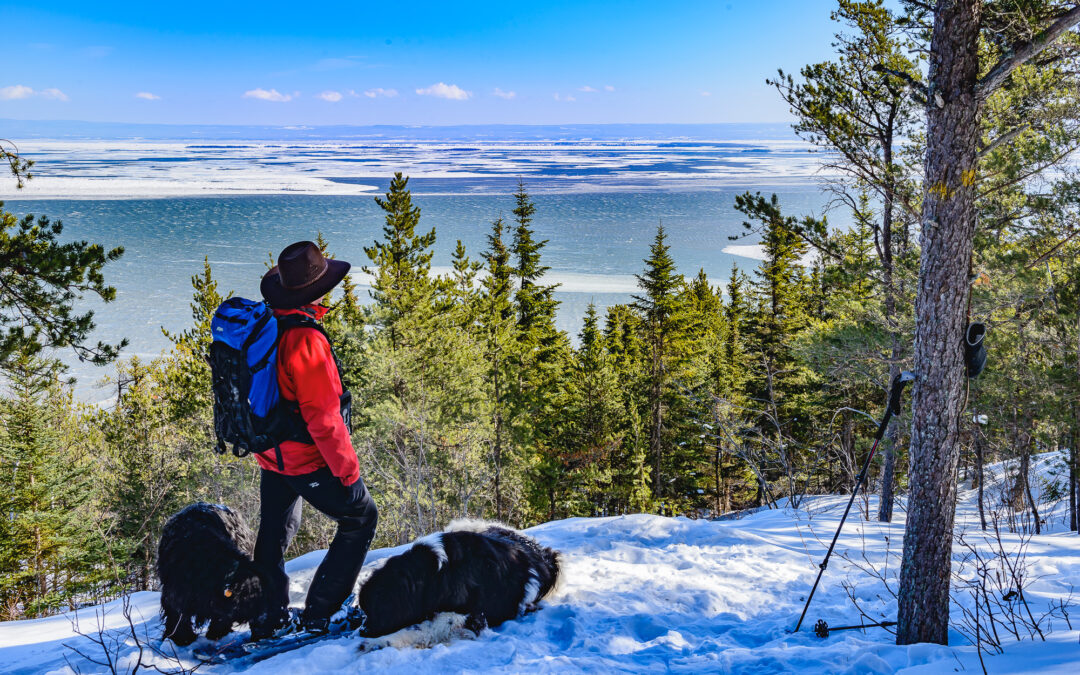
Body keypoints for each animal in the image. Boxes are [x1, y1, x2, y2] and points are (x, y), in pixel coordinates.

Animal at [158, 503, 280, 643]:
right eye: (258, 597)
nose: (271, 621)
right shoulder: (175, 591)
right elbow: (177, 614)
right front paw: (181, 638)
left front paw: (217, 632)